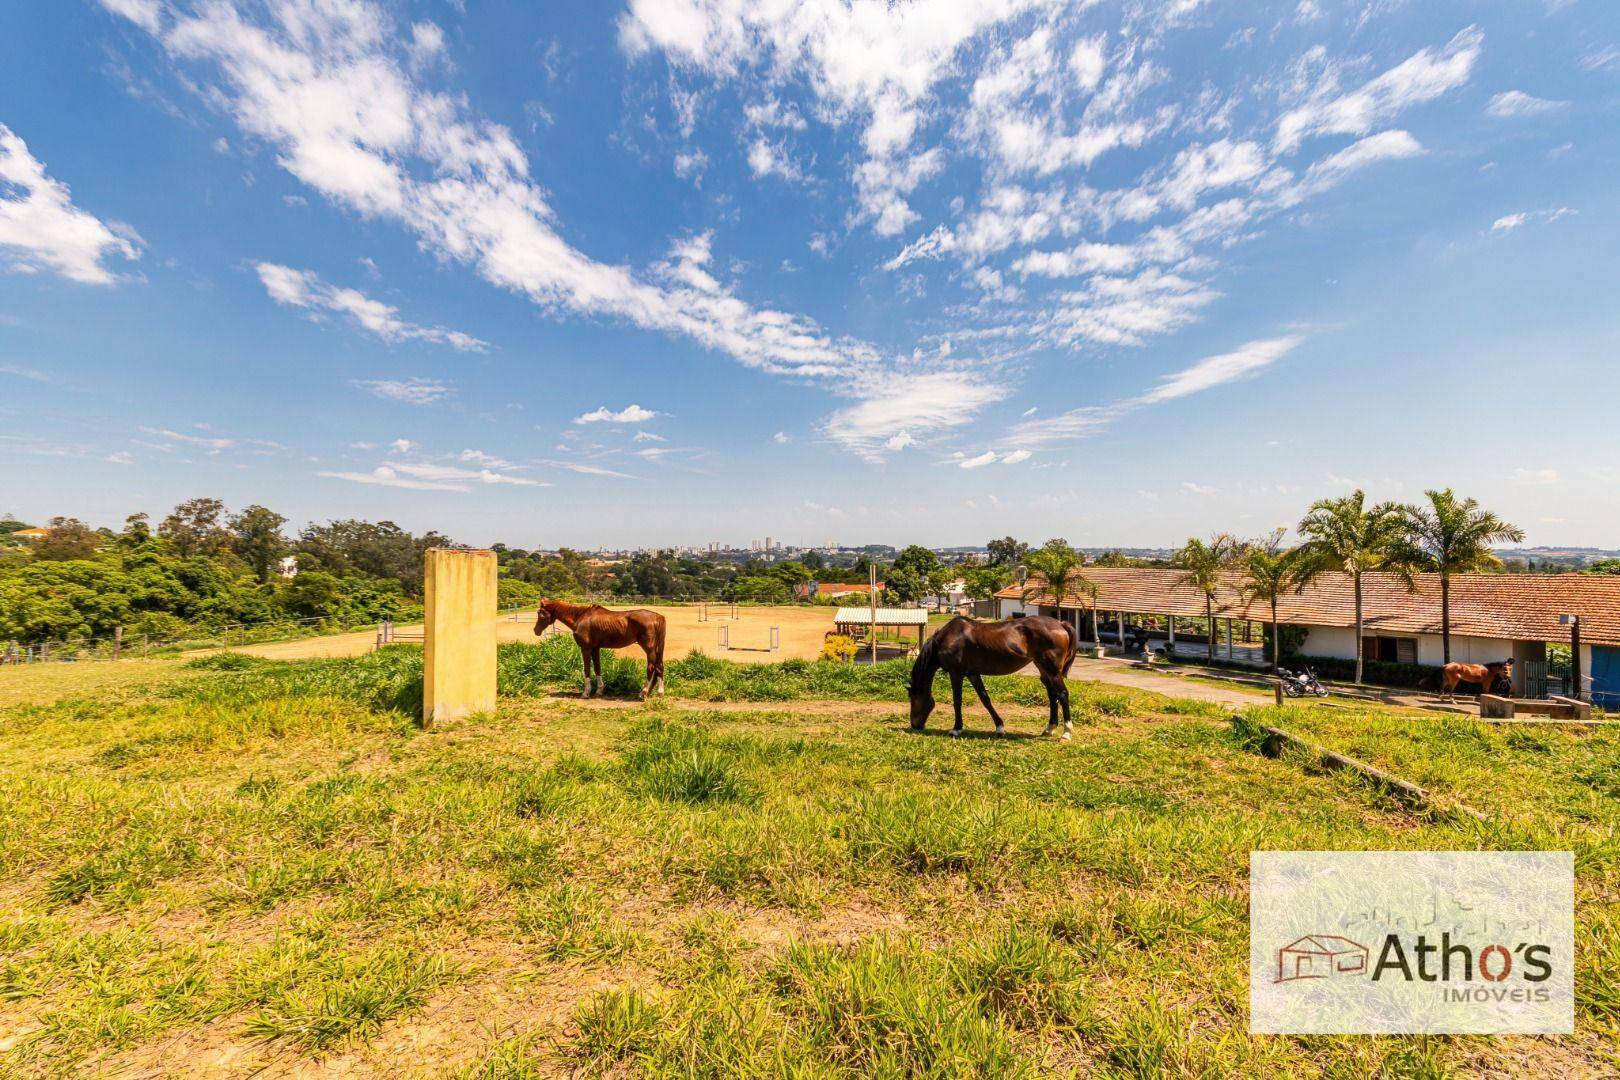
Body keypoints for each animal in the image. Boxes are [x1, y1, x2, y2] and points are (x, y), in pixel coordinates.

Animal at [534, 599, 667, 702]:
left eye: (540, 613)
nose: (536, 631)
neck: (580, 616)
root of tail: (658, 617)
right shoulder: (595, 648)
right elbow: (597, 667)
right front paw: (599, 690)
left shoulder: (586, 648)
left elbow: (587, 669)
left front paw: (586, 693)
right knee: (659, 667)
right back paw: (654, 692)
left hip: (649, 648)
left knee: (652, 667)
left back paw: (644, 693)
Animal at [913, 615, 1075, 744]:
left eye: (914, 700)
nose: (915, 725)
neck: (949, 637)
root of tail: (1060, 624)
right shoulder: (972, 674)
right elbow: (985, 699)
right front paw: (999, 727)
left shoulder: (956, 673)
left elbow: (957, 701)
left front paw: (956, 729)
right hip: (1044, 669)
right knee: (1052, 695)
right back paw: (1049, 729)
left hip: (1052, 671)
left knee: (1062, 695)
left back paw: (1066, 733)